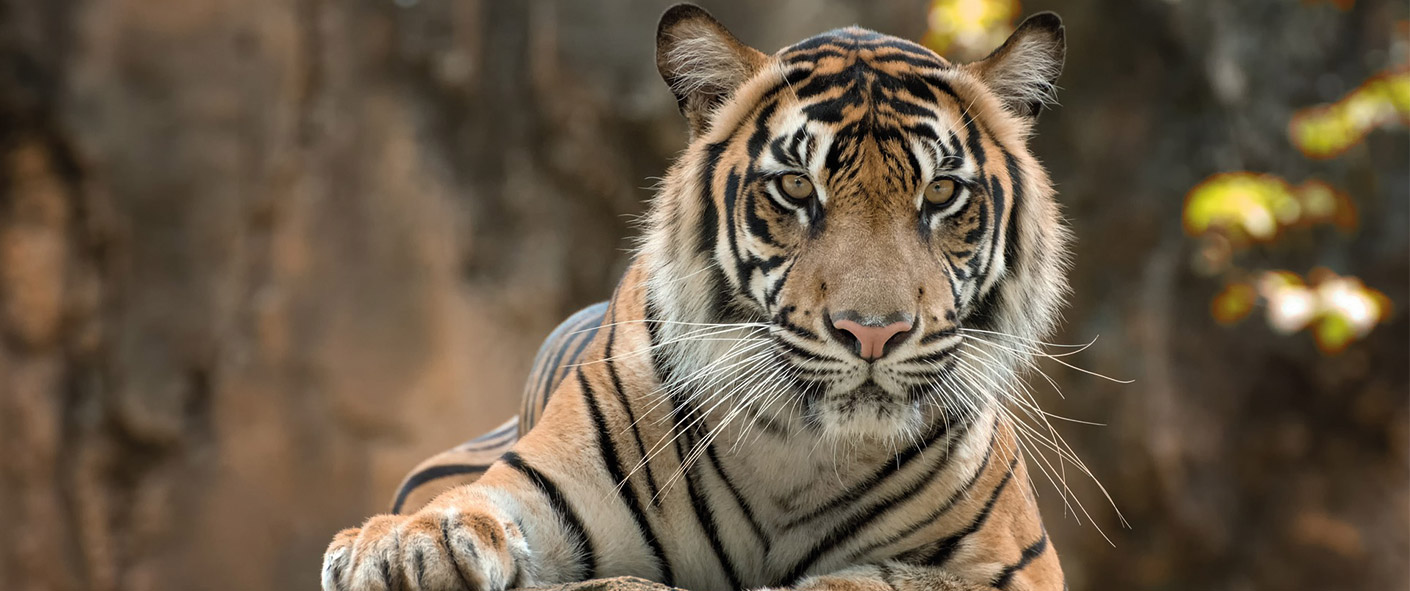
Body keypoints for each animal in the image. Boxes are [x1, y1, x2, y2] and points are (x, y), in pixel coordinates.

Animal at [322, 4, 1073, 591]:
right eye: (795, 187)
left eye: (941, 192)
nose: (872, 332)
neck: (800, 453)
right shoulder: (544, 484)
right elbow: (470, 505)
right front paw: (403, 546)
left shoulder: (1014, 564)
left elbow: (875, 577)